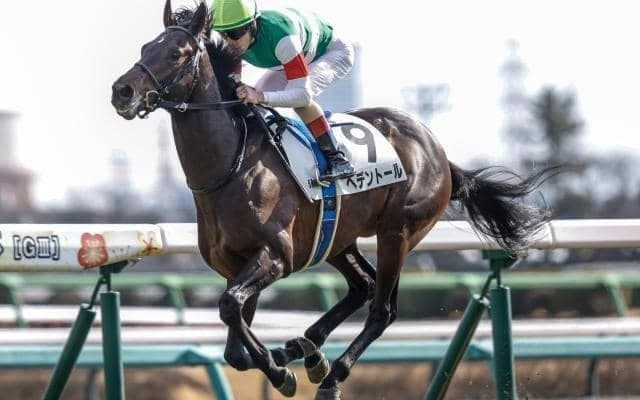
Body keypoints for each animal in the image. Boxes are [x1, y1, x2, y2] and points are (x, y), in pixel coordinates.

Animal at [111, 2, 552, 398]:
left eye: (176, 53)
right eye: (144, 48)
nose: (122, 91)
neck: (230, 168)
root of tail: (437, 152)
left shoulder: (275, 255)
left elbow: (230, 308)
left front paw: (279, 373)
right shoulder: (236, 264)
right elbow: (234, 341)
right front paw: (278, 360)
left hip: (398, 232)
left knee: (382, 309)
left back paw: (330, 374)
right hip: (338, 236)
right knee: (362, 286)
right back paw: (305, 349)